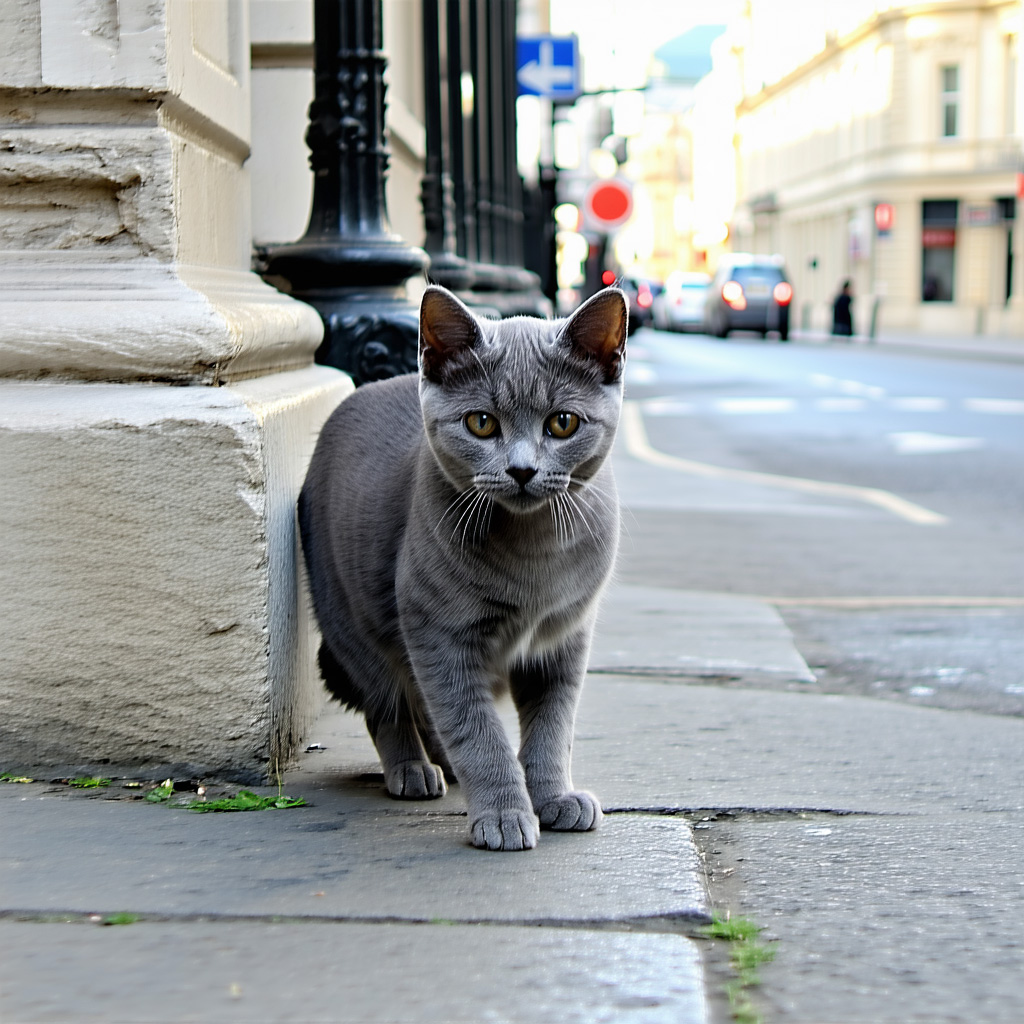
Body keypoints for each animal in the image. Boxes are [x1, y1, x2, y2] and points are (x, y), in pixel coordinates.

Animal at [299, 284, 626, 851]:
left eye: (562, 423)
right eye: (481, 422)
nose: (522, 470)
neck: (534, 557)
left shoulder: (563, 640)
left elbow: (552, 729)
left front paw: (555, 797)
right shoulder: (441, 636)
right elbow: (478, 732)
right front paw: (504, 814)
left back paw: (444, 765)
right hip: (352, 624)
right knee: (388, 705)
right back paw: (412, 770)